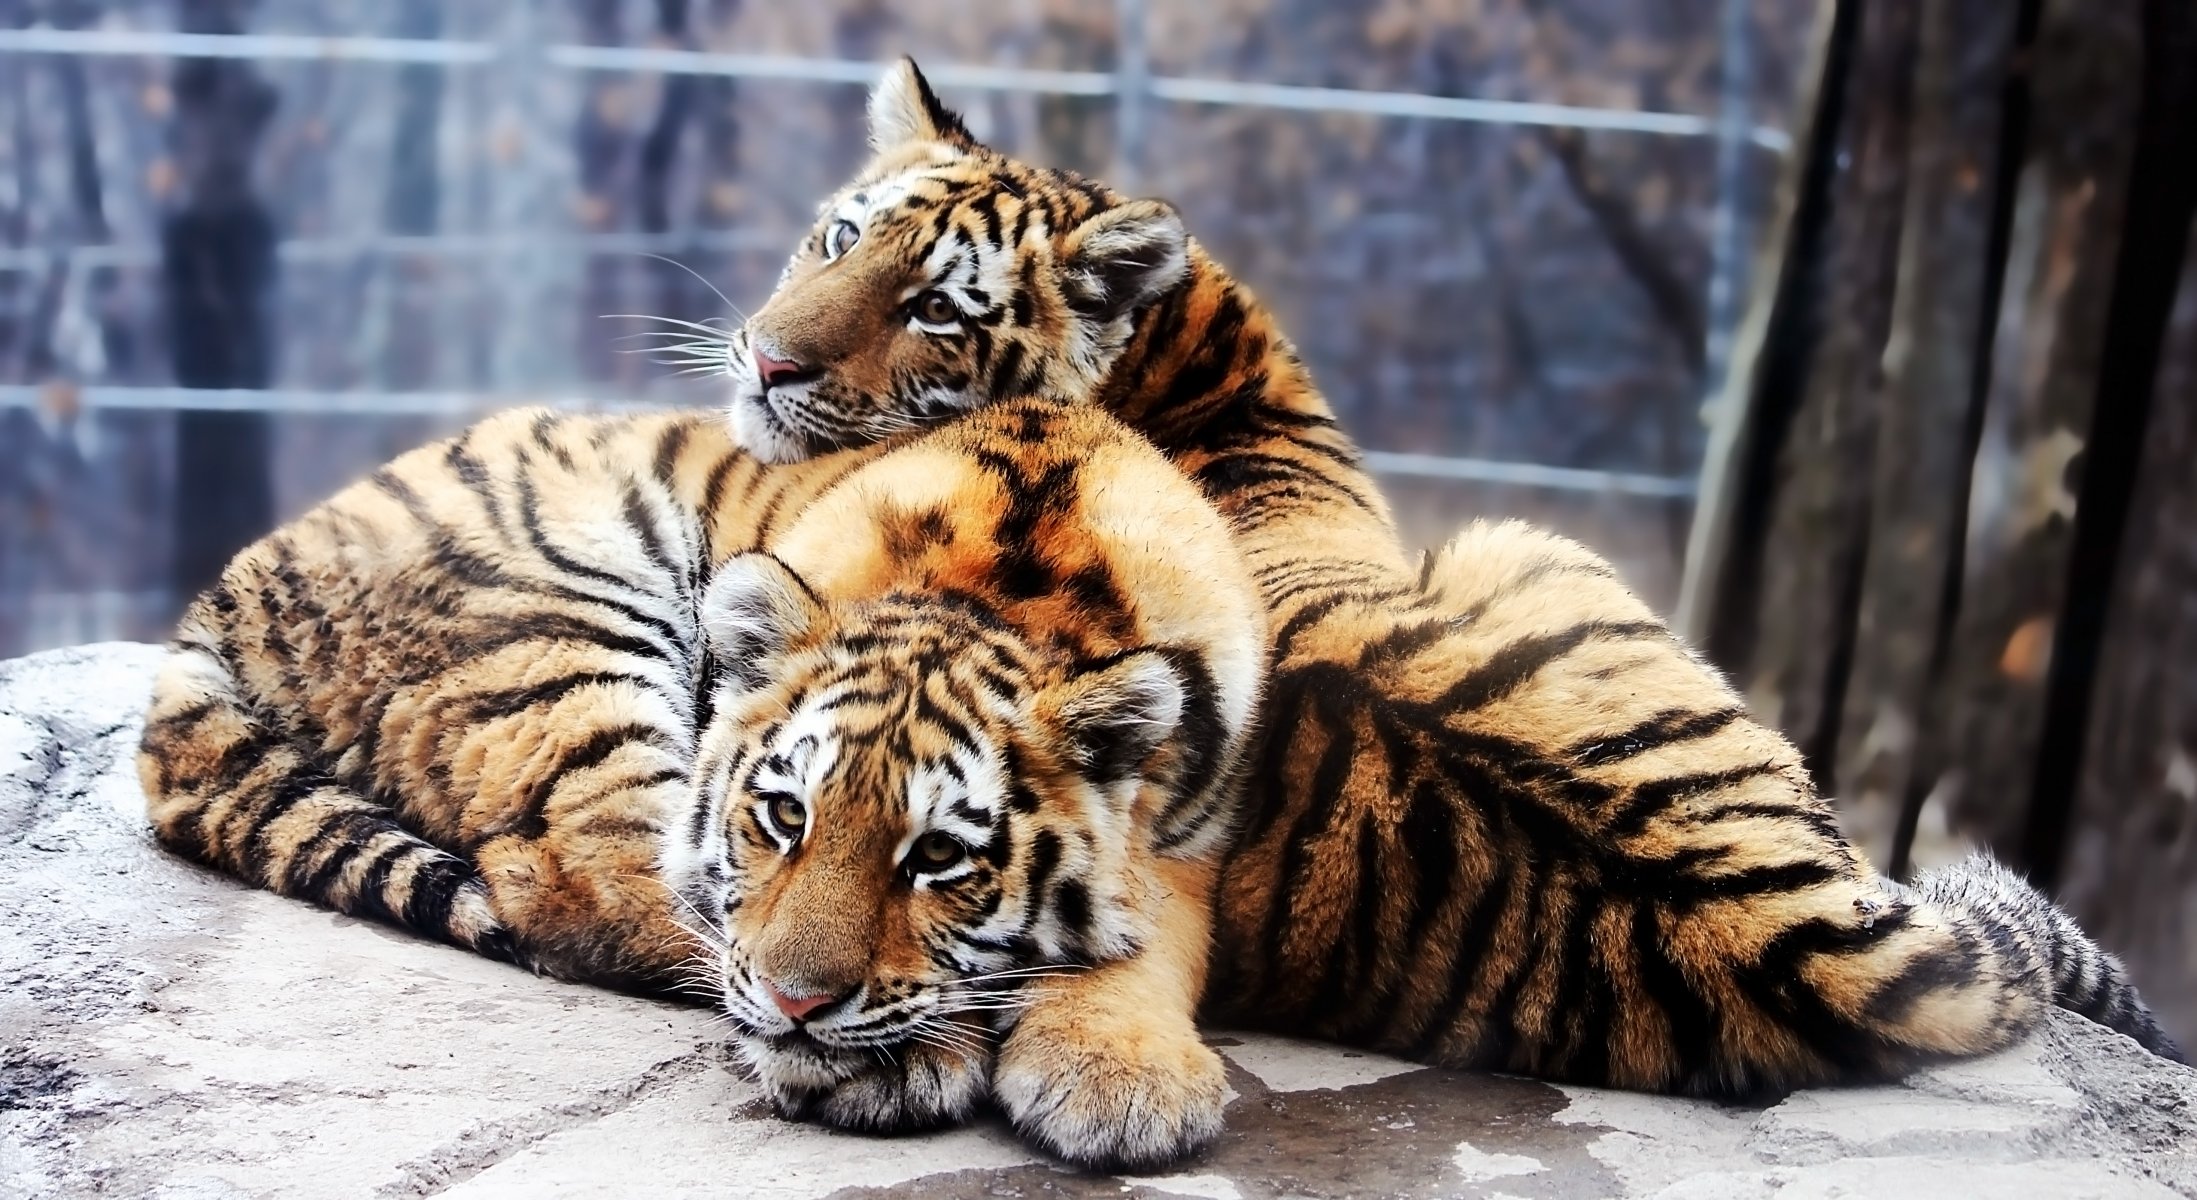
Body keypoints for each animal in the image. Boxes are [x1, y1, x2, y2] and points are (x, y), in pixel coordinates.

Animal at [135, 393, 1266, 1170]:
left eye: (939, 857)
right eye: (783, 815)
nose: (798, 1007)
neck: (1011, 595)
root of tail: (233, 583)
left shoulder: (1199, 832)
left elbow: (1148, 941)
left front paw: (1121, 1081)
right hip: (564, 634)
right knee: (585, 883)